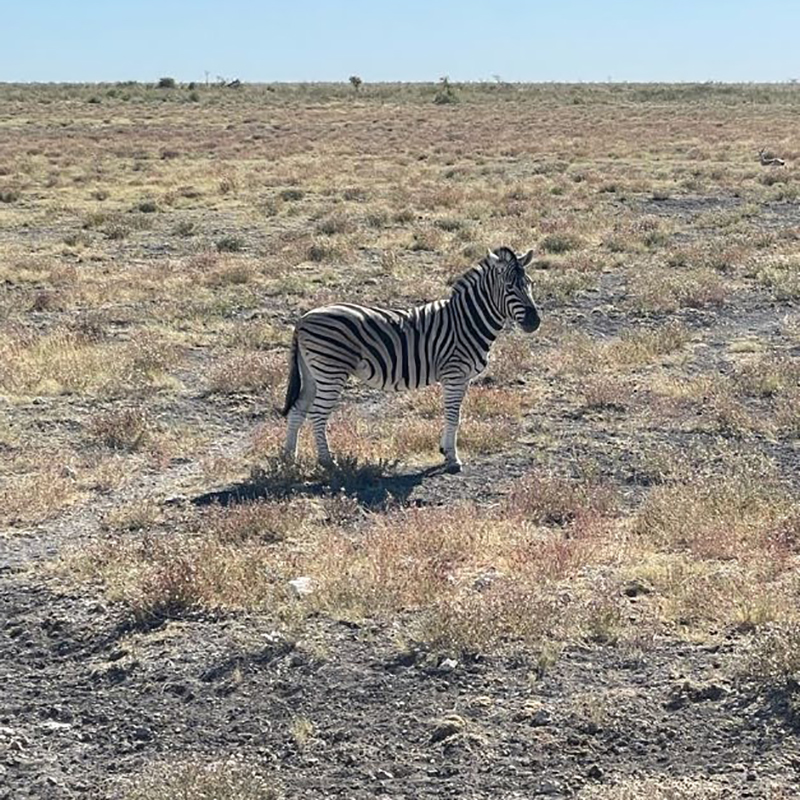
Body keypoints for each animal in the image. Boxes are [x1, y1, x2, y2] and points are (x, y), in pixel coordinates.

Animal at [281, 246, 540, 473]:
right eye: (509, 287)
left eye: (530, 284)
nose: (534, 322)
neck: (467, 321)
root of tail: (303, 318)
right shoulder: (454, 374)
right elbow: (453, 415)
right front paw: (452, 459)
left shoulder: (463, 378)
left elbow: (454, 414)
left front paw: (445, 450)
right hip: (330, 370)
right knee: (317, 415)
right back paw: (328, 462)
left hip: (313, 373)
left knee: (297, 410)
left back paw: (288, 459)